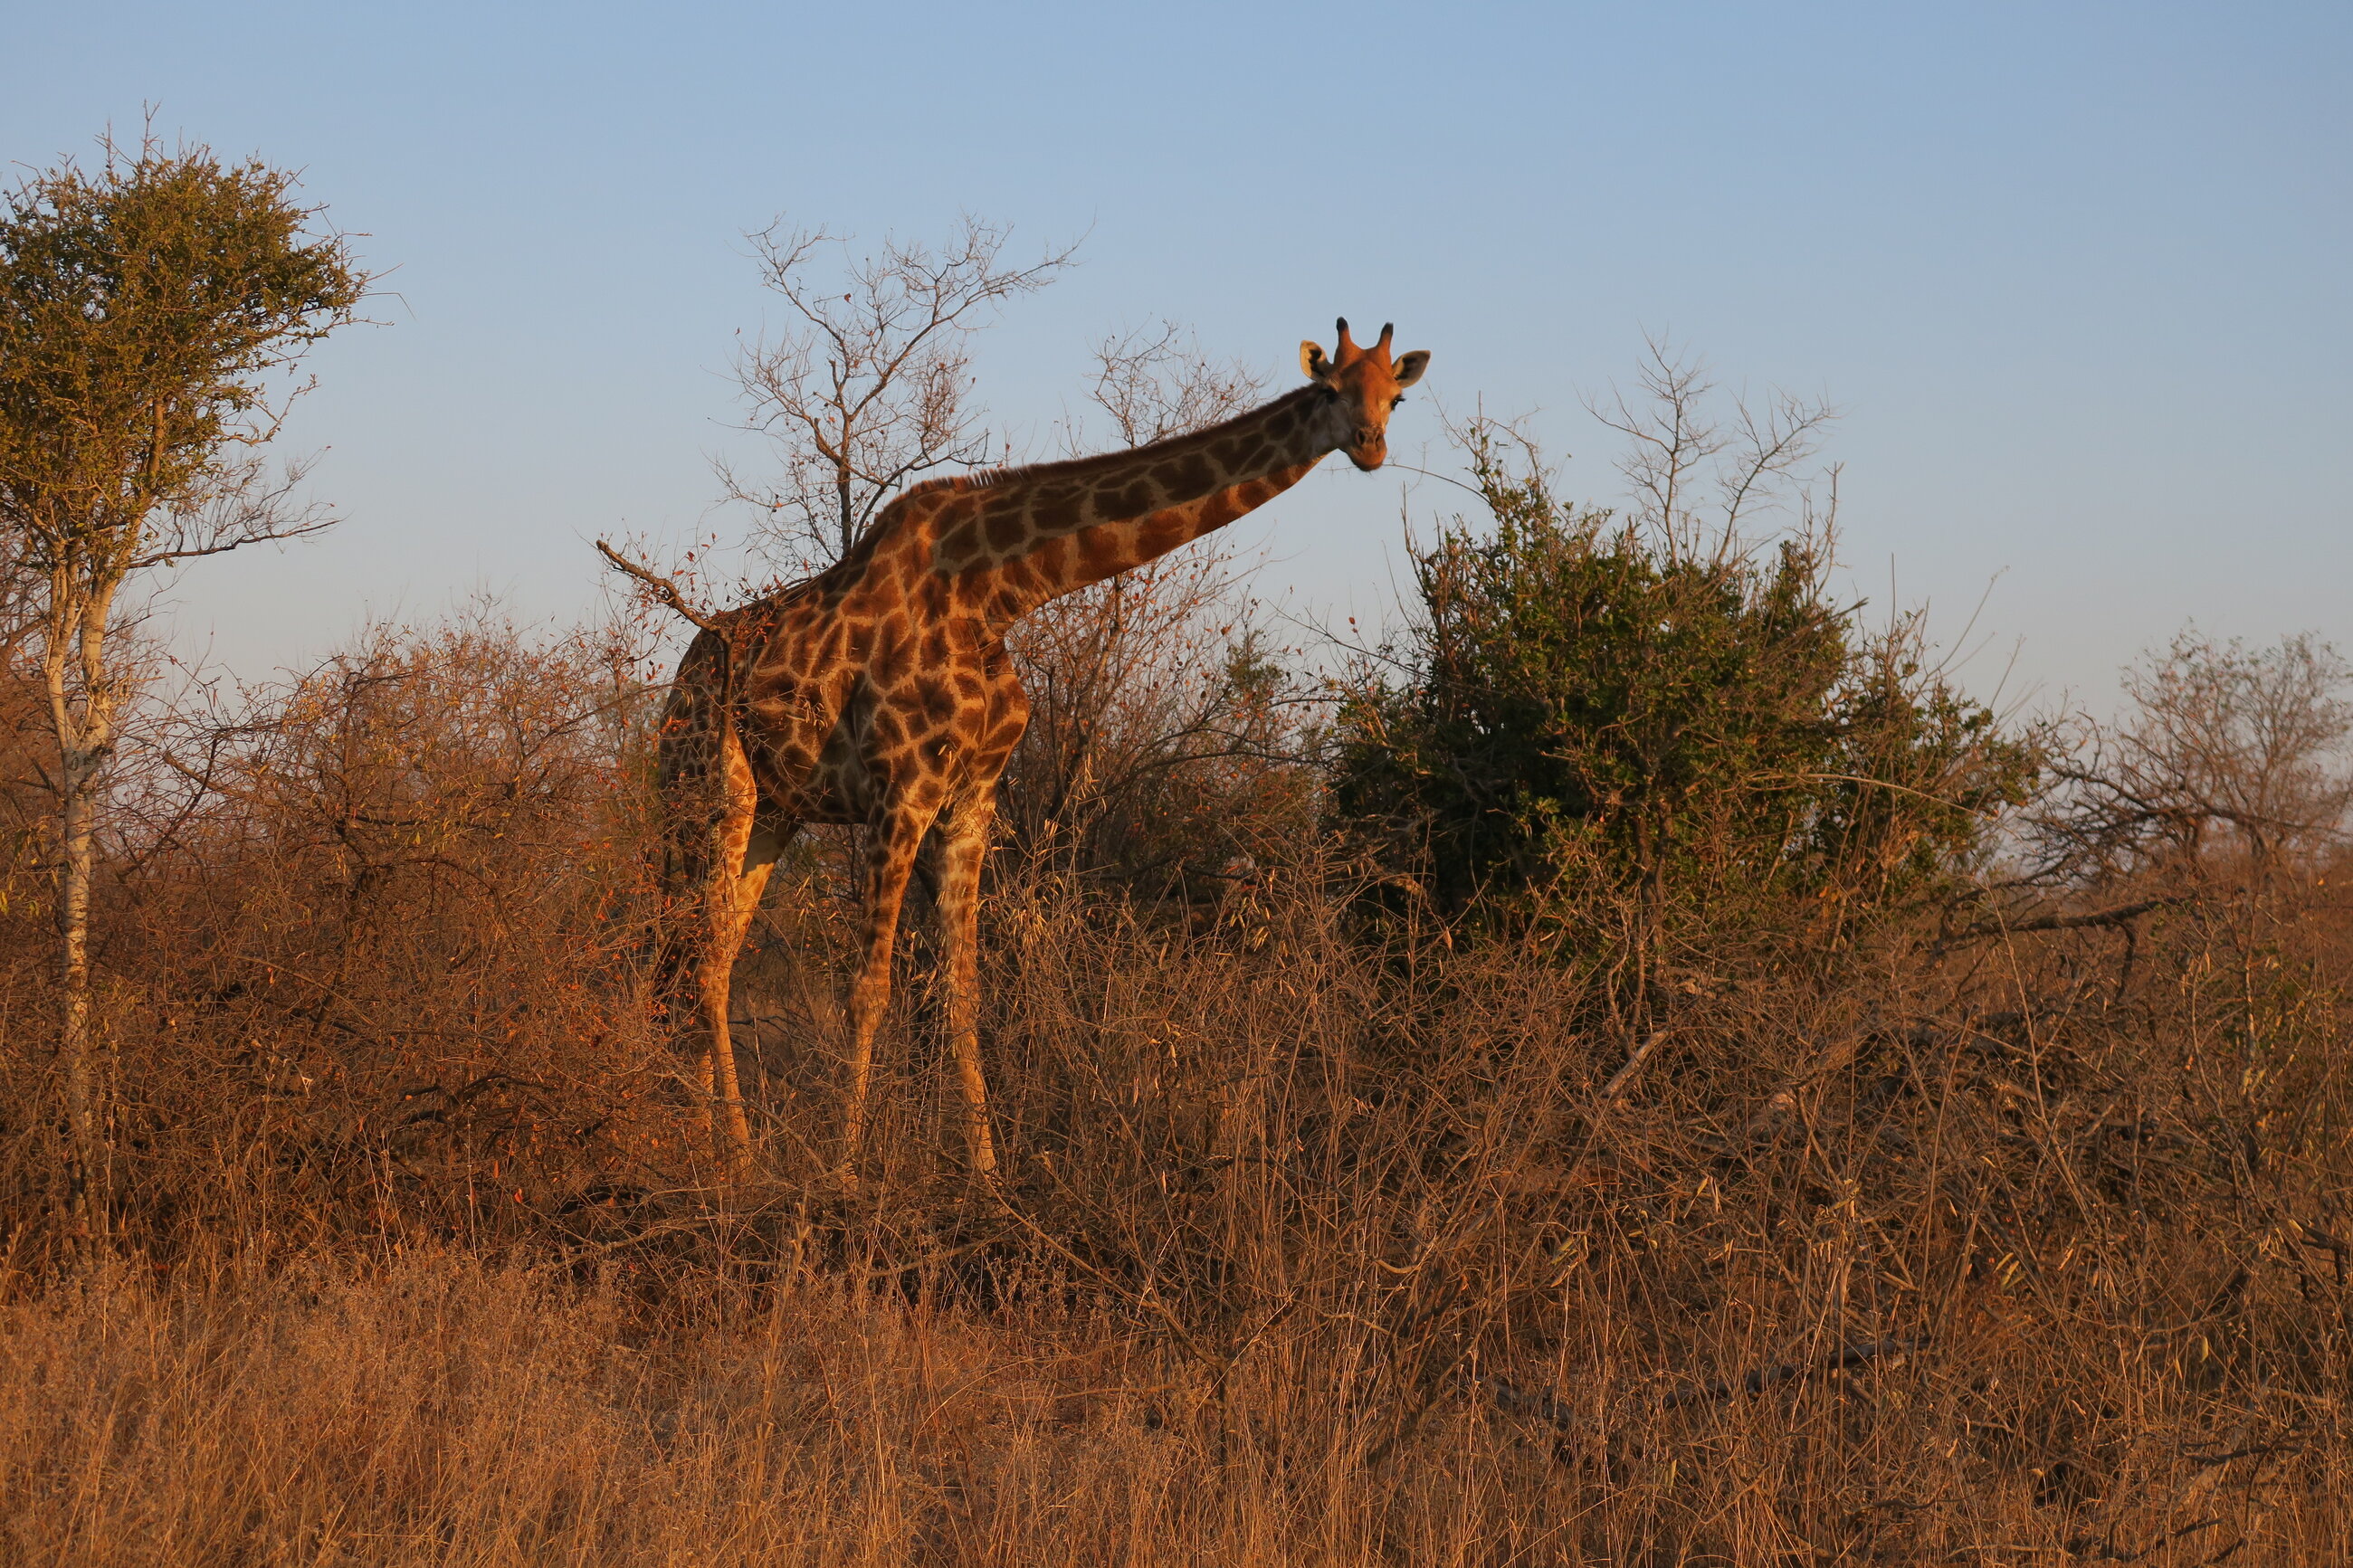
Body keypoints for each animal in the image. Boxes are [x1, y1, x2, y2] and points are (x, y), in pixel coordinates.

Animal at [655, 318, 1429, 1180]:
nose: (1371, 447)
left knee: (714, 962)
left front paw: (990, 1182)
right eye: (1331, 390)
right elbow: (870, 989)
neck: (999, 591)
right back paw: (729, 1161)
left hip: (776, 810)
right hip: (706, 792)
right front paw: (843, 1179)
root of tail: (680, 680)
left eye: (1395, 398)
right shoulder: (903, 788)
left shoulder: (970, 799)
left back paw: (725, 1156)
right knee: (696, 961)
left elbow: (962, 996)